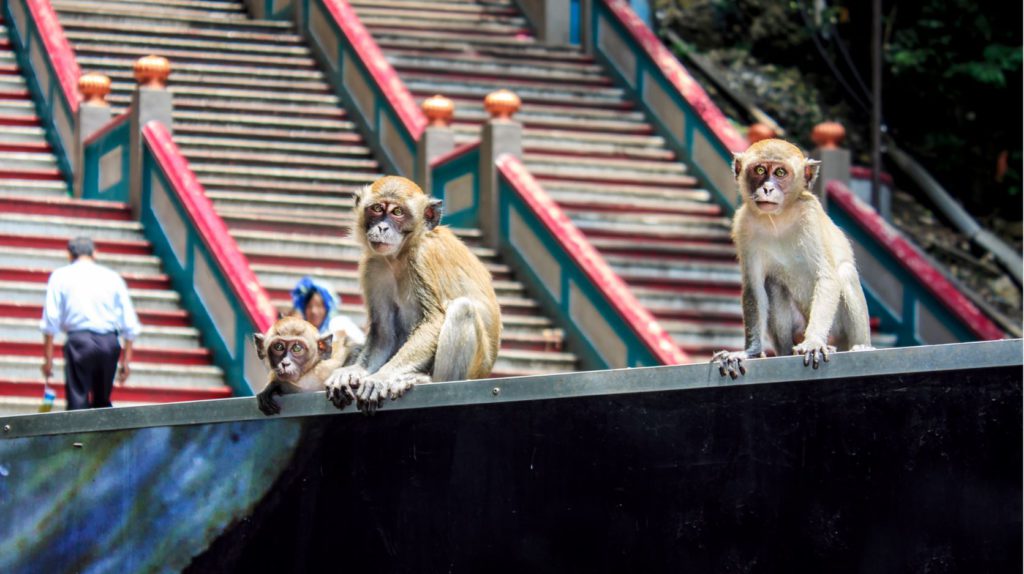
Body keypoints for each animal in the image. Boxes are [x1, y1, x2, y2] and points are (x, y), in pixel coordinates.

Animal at [325, 174, 501, 411]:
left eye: (398, 212)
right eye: (377, 209)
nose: (382, 228)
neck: (399, 255)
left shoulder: (423, 257)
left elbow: (434, 321)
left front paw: (381, 377)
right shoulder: (374, 267)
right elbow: (383, 334)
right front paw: (353, 372)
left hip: (476, 367)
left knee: (462, 310)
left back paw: (425, 380)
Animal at [712, 139, 872, 378]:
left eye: (780, 172)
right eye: (760, 170)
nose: (767, 188)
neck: (778, 219)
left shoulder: (810, 215)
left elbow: (828, 277)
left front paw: (813, 342)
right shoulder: (744, 225)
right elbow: (754, 288)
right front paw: (750, 352)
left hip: (837, 330)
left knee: (845, 272)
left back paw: (860, 346)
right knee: (773, 284)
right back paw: (787, 351)